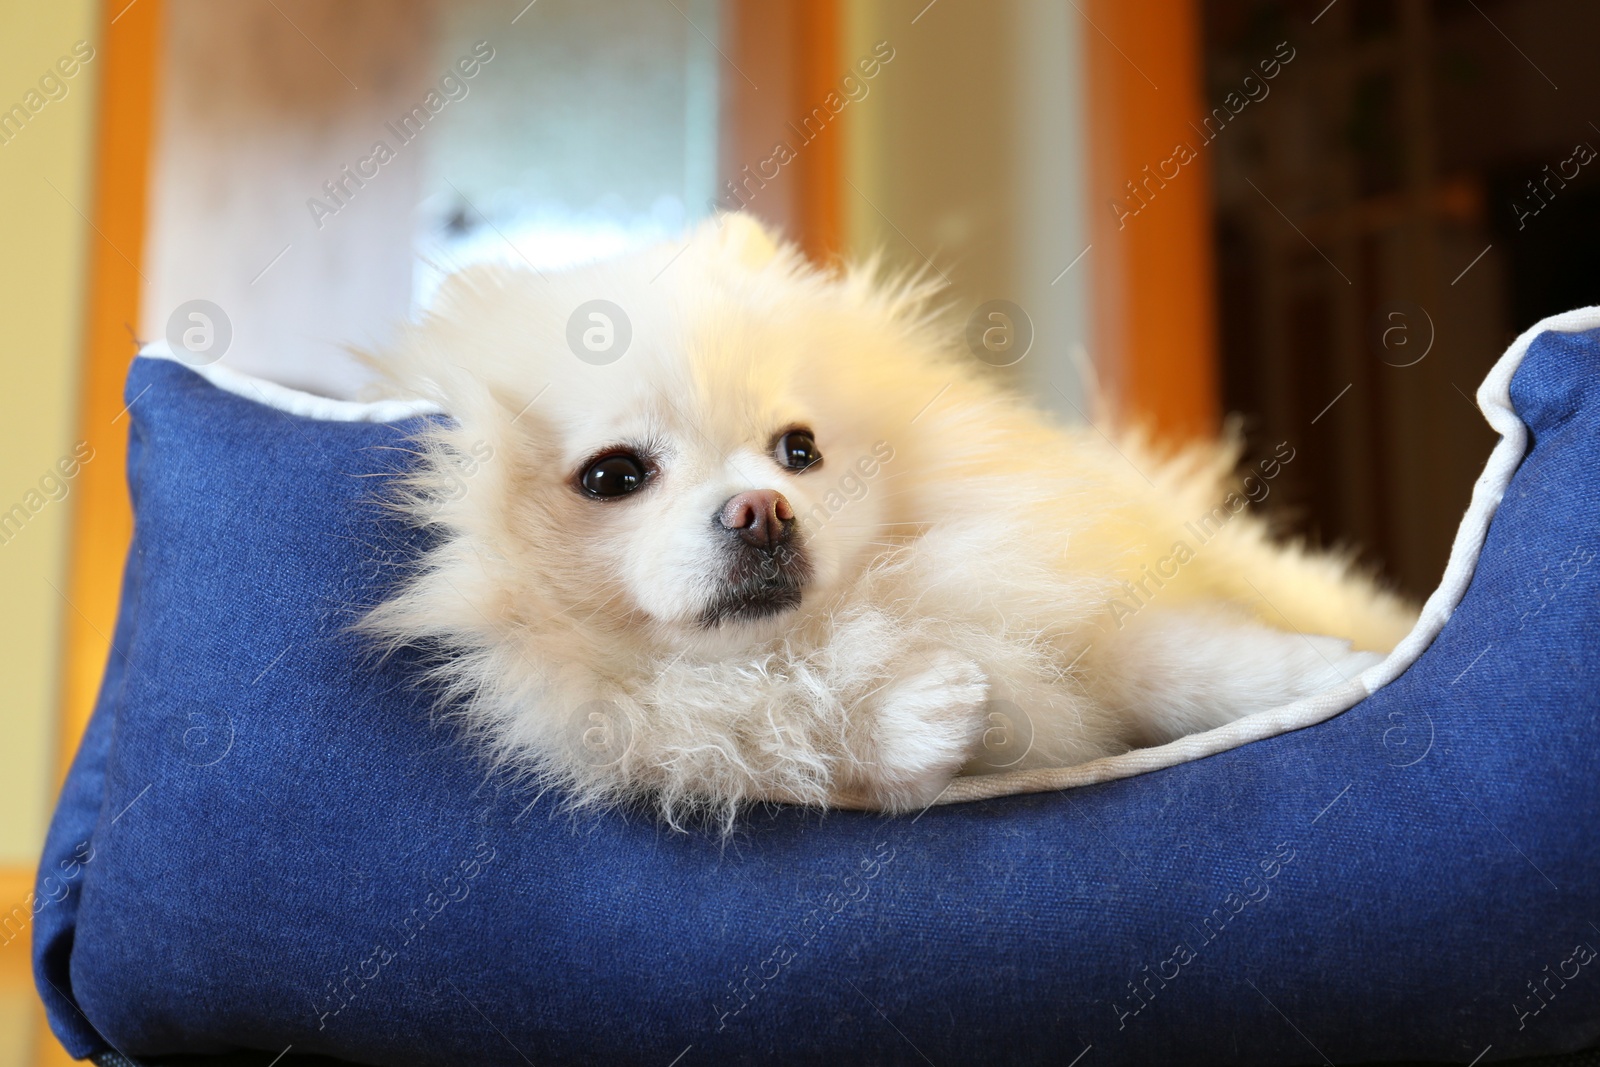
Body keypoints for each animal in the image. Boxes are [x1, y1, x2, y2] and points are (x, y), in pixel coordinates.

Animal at [368, 214, 1420, 825]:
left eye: (798, 450)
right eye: (615, 474)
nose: (760, 510)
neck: (829, 626)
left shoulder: (1077, 606)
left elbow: (1191, 661)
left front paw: (1327, 672)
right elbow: (809, 737)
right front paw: (921, 708)